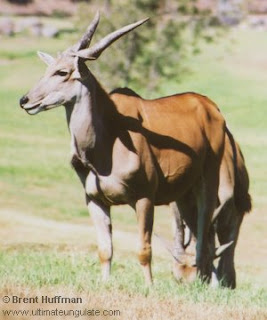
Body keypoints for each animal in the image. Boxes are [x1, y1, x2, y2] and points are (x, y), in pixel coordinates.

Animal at [19, 13, 227, 284]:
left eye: (62, 72)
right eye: (47, 69)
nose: (25, 100)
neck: (105, 146)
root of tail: (211, 107)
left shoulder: (144, 198)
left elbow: (144, 249)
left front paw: (149, 287)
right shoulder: (95, 200)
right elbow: (105, 248)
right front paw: (104, 283)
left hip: (208, 181)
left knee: (206, 234)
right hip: (183, 193)